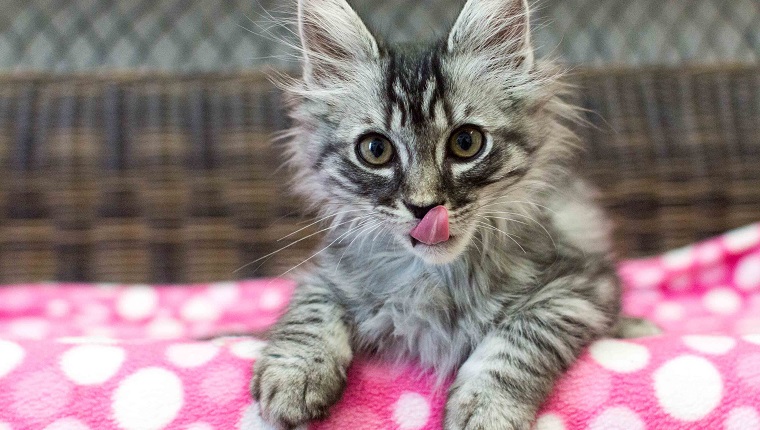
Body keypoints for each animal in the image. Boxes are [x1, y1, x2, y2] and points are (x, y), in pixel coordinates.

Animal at [251, 0, 660, 430]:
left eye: (466, 143)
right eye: (376, 150)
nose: (424, 207)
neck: (434, 278)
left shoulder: (581, 285)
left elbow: (519, 337)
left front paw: (487, 407)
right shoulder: (328, 274)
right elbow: (308, 312)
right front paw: (294, 374)